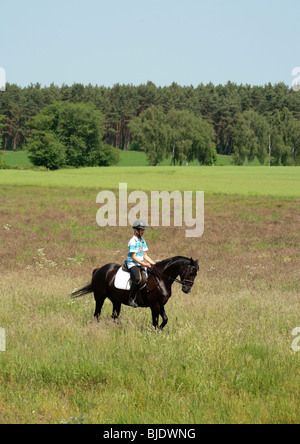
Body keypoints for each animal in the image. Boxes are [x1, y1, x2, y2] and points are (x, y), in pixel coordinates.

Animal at [71, 256, 199, 330]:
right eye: (191, 272)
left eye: (196, 274)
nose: (187, 290)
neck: (161, 278)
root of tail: (99, 270)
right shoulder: (155, 305)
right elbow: (155, 321)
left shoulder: (160, 304)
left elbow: (165, 320)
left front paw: (159, 331)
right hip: (99, 297)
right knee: (97, 314)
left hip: (116, 301)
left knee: (114, 316)